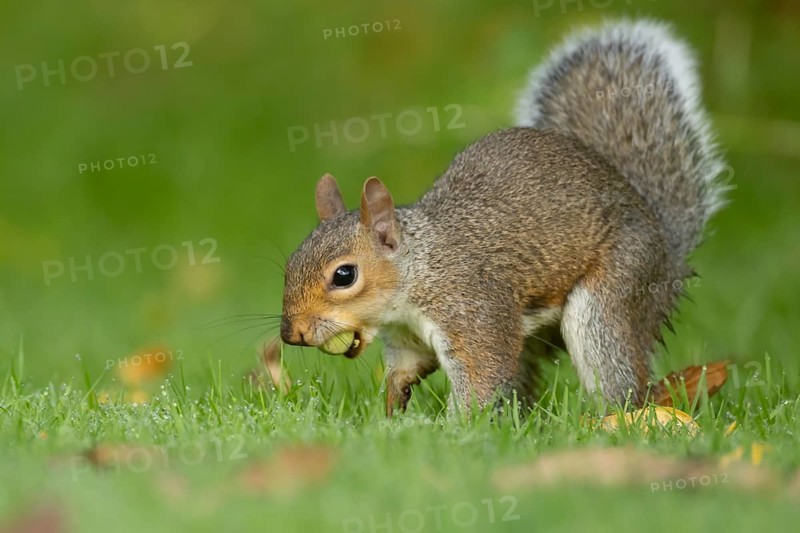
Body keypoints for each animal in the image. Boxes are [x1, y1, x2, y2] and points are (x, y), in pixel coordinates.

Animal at [280, 20, 727, 416]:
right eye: (288, 265)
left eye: (344, 275)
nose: (291, 333)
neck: (418, 269)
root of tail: (668, 252)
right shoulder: (408, 337)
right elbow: (407, 366)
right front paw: (392, 407)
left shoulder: (473, 311)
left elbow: (482, 375)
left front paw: (454, 429)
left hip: (615, 292)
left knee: (617, 373)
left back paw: (610, 418)